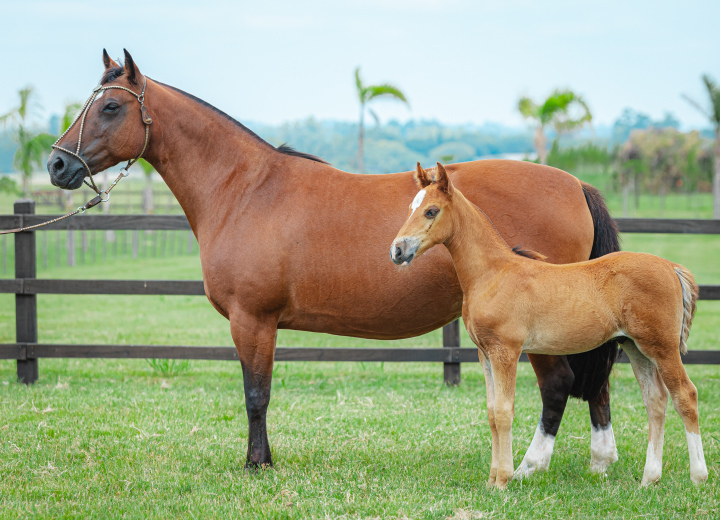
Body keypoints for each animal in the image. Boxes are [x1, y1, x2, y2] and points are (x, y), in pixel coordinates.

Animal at [46, 50, 620, 478]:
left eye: (111, 107)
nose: (56, 164)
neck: (245, 189)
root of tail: (575, 183)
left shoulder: (252, 320)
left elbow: (256, 394)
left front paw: (257, 464)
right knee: (595, 384)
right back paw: (600, 460)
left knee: (559, 383)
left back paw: (529, 465)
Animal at [390, 161, 704, 488]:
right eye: (411, 207)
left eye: (431, 211)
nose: (397, 250)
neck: (492, 272)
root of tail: (671, 267)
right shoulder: (485, 353)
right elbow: (491, 412)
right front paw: (491, 480)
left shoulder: (506, 351)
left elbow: (504, 411)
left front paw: (503, 481)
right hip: (635, 347)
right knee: (655, 400)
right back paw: (649, 479)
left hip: (663, 347)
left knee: (686, 395)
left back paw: (698, 476)